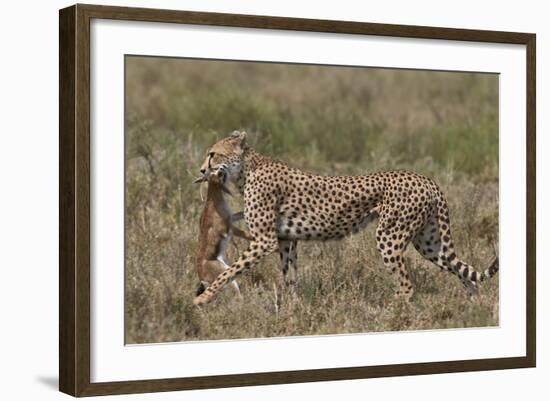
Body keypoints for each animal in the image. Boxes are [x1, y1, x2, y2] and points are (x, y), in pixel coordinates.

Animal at [193, 130, 500, 304]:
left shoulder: (264, 240)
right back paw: (474, 309)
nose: (201, 170)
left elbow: (230, 270)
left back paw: (389, 313)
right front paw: (294, 307)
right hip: (429, 243)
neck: (246, 169)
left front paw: (204, 299)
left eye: (213, 154)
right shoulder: (285, 239)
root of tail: (427, 179)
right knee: (466, 274)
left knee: (407, 285)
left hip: (389, 236)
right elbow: (289, 276)